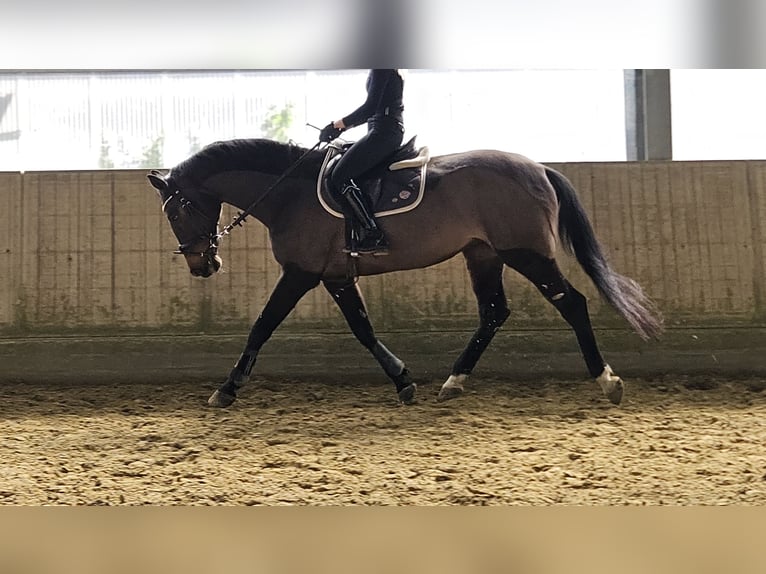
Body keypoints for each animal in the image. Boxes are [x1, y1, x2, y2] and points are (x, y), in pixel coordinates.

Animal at [147, 138, 662, 408]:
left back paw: (607, 381)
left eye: (175, 212)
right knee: (494, 313)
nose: (202, 265)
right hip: (484, 255)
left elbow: (262, 326)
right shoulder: (336, 276)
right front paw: (403, 380)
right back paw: (453, 383)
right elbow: (363, 329)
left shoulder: (301, 273)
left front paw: (226, 389)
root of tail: (538, 168)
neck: (288, 194)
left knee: (571, 303)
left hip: (525, 253)